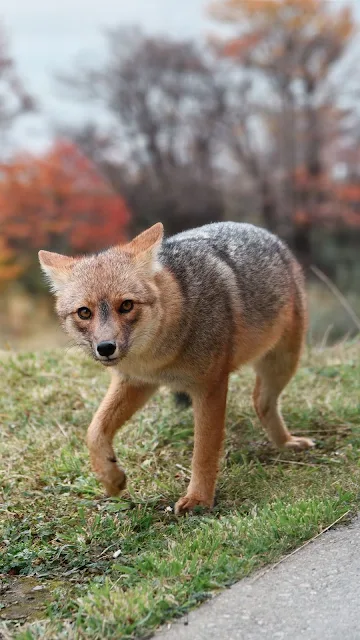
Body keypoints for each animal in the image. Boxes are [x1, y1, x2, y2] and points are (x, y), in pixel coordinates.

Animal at [39, 222, 314, 512]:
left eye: (126, 305)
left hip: (283, 362)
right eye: (84, 312)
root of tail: (260, 230)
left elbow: (204, 451)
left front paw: (199, 500)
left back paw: (286, 443)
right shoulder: (136, 382)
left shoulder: (210, 387)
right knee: (260, 402)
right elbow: (93, 431)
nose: (105, 347)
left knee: (261, 401)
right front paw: (110, 479)